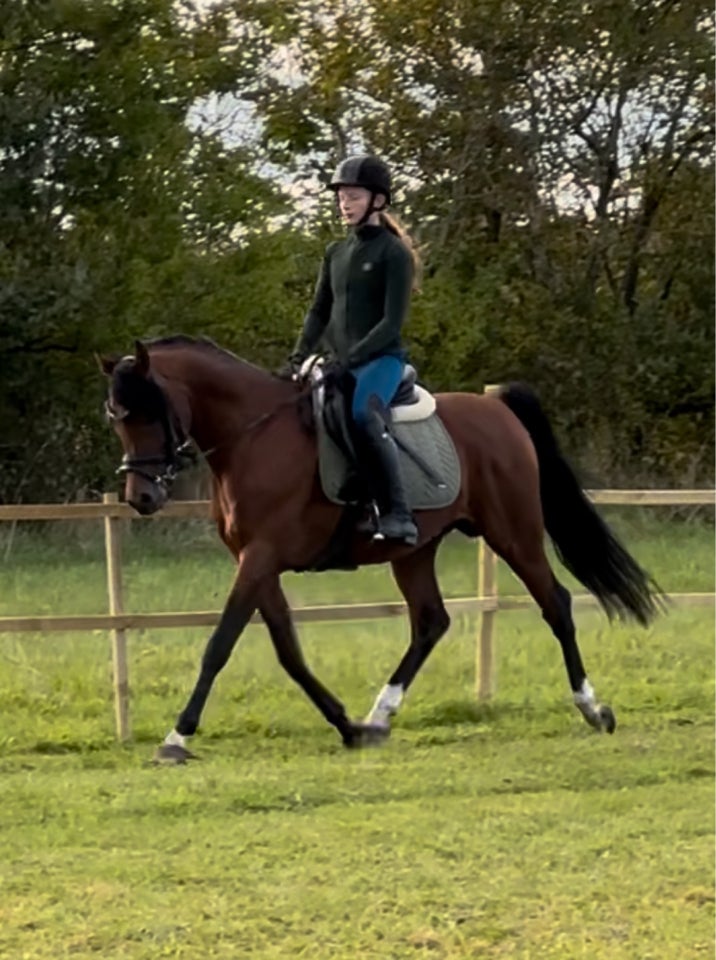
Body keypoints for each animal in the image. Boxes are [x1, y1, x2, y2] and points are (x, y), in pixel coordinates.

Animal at [99, 334, 660, 760]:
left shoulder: (261, 557)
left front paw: (177, 736)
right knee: (431, 621)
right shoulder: (257, 561)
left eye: (148, 411)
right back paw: (379, 715)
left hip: (514, 533)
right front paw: (348, 727)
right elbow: (288, 651)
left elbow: (220, 644)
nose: (141, 498)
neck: (252, 437)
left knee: (555, 604)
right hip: (415, 551)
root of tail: (495, 408)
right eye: (117, 418)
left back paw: (593, 708)